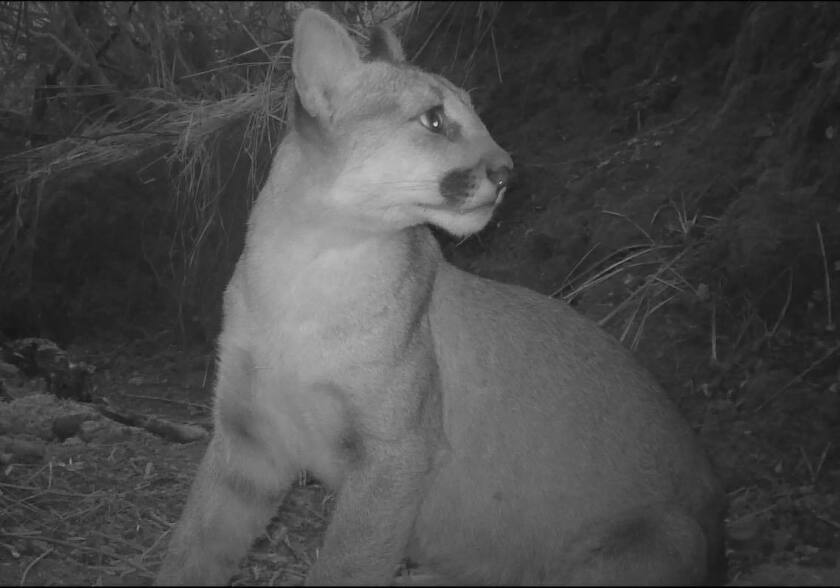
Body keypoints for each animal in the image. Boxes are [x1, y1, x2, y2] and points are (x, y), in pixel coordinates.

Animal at [158, 6, 728, 584]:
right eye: (434, 120)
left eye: (476, 115)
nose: (508, 171)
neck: (309, 266)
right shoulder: (250, 442)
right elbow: (192, 548)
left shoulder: (394, 456)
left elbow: (345, 566)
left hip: (661, 532)